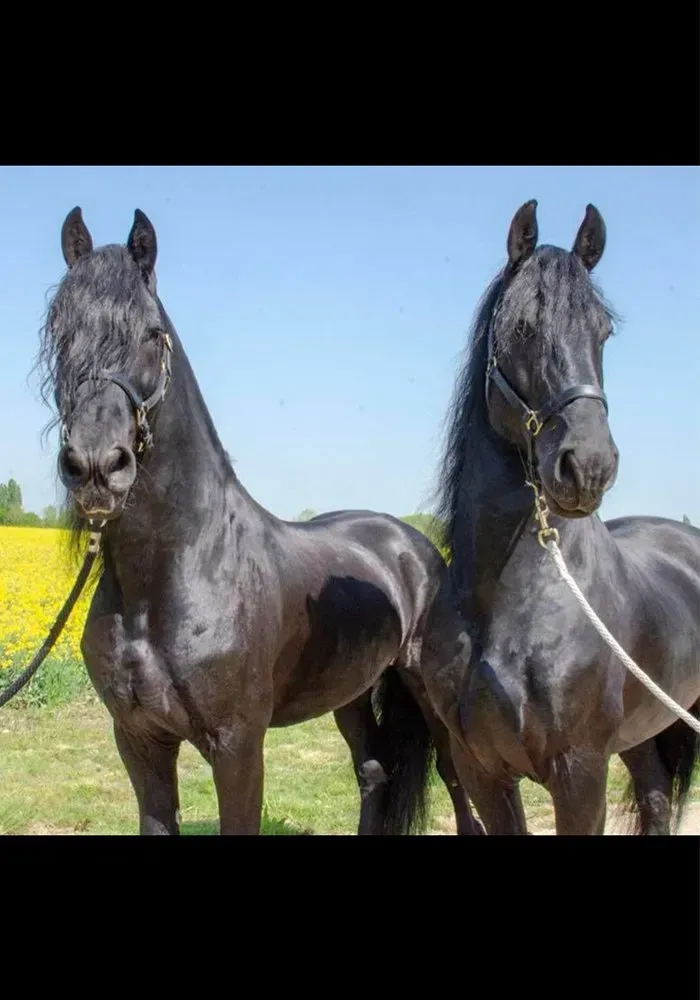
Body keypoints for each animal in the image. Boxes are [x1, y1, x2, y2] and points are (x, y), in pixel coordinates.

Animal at [35, 205, 483, 836]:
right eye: (61, 334)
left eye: (151, 333)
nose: (96, 466)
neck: (171, 577)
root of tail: (411, 546)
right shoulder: (139, 741)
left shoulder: (238, 747)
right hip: (351, 689)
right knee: (374, 770)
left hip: (425, 694)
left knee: (454, 779)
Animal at [419, 199, 700, 835]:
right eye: (522, 327)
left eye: (604, 332)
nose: (589, 466)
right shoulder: (480, 770)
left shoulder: (580, 772)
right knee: (653, 799)